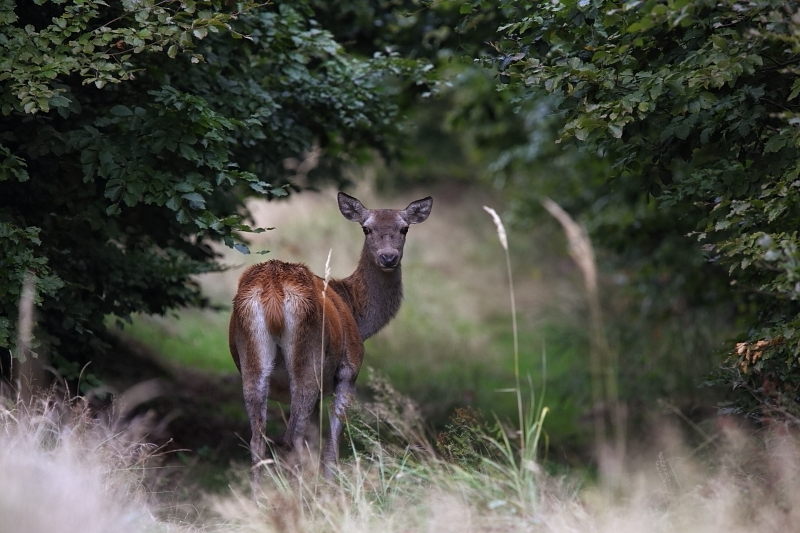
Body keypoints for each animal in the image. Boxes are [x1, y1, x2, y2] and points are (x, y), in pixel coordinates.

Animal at [228, 192, 434, 486]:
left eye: (404, 228)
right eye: (366, 228)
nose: (388, 257)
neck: (357, 314)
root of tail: (274, 291)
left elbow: (314, 441)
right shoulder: (348, 371)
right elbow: (330, 447)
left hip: (251, 358)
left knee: (258, 439)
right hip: (310, 358)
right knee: (291, 438)